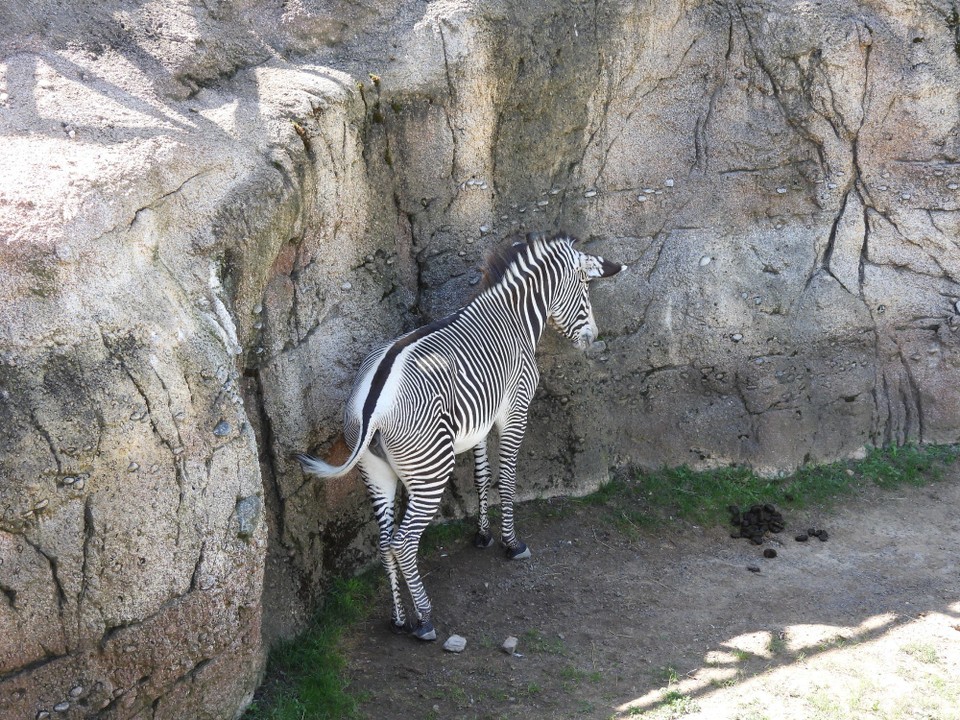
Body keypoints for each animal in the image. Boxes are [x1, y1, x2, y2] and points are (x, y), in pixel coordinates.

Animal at [296, 232, 625, 640]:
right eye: (584, 288)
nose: (593, 337)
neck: (514, 317)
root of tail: (374, 404)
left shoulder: (479, 422)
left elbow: (482, 476)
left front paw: (483, 535)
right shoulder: (515, 411)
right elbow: (507, 477)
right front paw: (511, 543)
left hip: (376, 472)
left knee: (386, 541)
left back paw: (400, 618)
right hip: (430, 470)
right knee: (404, 542)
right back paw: (424, 619)